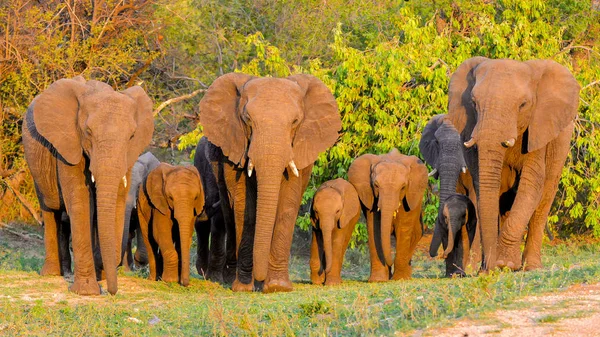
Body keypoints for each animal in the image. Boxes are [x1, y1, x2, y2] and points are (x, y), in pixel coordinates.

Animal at [22, 76, 155, 294]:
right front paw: (87, 291)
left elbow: (117, 202)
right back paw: (52, 273)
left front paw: (100, 274)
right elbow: (81, 202)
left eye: (132, 136)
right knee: (50, 210)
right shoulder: (68, 146)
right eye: (88, 132)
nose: (111, 292)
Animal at [200, 73, 342, 292]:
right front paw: (244, 287)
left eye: (295, 121)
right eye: (248, 120)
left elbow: (287, 204)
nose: (260, 278)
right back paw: (230, 279)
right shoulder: (236, 146)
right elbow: (245, 208)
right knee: (228, 212)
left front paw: (277, 286)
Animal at [448, 56, 580, 270]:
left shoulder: (538, 130)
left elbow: (531, 185)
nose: (487, 268)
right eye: (474, 103)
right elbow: (481, 186)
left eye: (523, 105)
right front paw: (491, 266)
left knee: (543, 200)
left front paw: (504, 263)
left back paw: (529, 266)